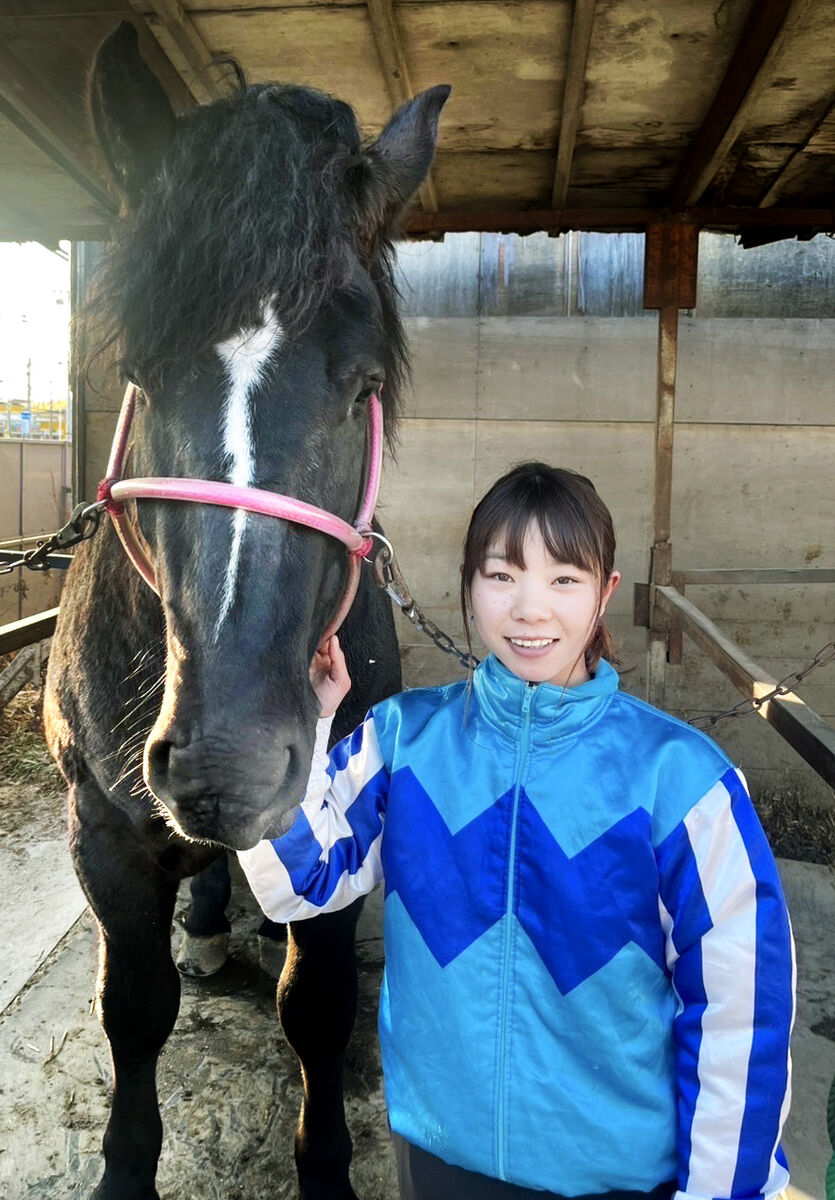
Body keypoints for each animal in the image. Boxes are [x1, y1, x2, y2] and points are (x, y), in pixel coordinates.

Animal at [44, 21, 451, 1200]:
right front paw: (123, 1171)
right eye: (140, 368)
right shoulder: (102, 833)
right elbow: (133, 1012)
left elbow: (314, 1010)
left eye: (364, 385)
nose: (228, 764)